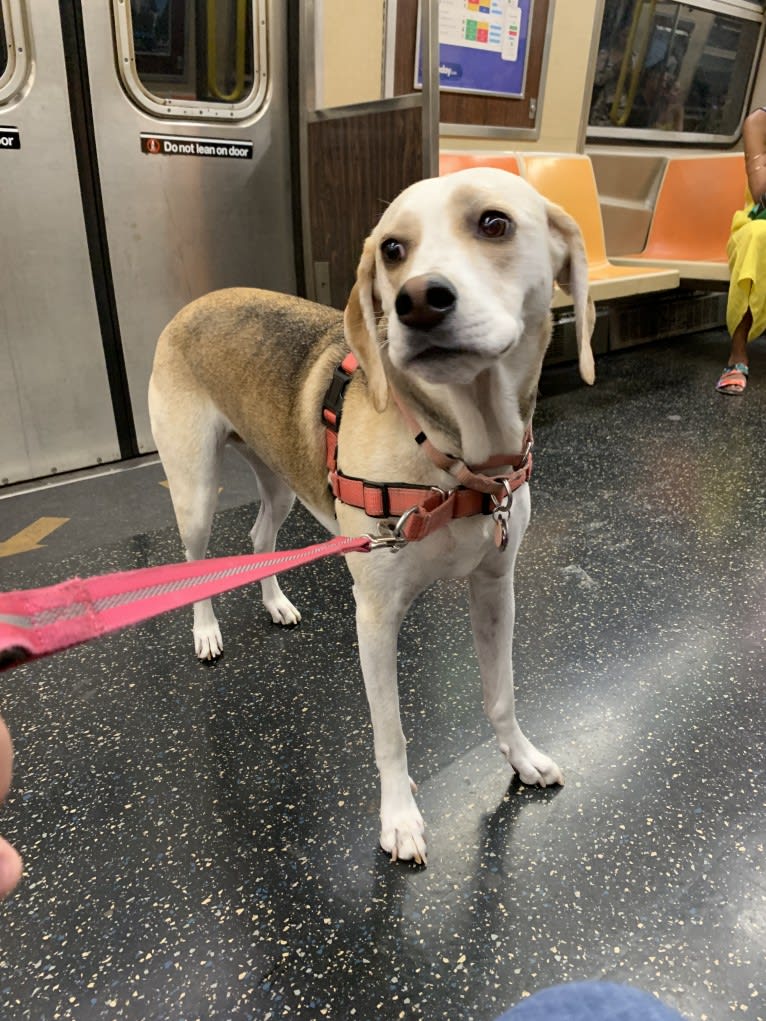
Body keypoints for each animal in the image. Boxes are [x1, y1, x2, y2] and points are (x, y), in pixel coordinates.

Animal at [148, 167, 592, 861]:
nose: (418, 302)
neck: (456, 456)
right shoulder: (376, 619)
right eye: (392, 249)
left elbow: (500, 694)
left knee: (259, 536)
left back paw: (276, 602)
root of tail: (198, 302)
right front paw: (400, 818)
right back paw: (205, 631)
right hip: (194, 490)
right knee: (197, 561)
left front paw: (520, 758)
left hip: (282, 481)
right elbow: (391, 735)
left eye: (494, 223)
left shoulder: (495, 589)